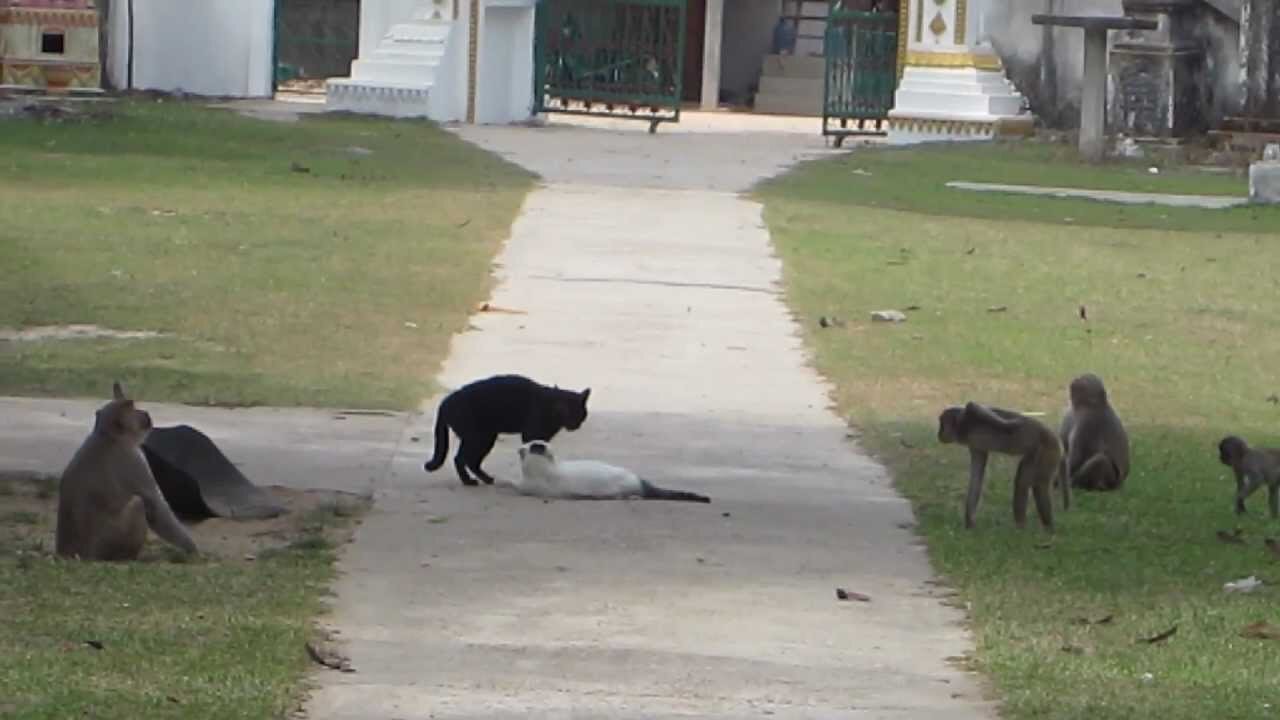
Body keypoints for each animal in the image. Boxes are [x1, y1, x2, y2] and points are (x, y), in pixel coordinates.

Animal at [54, 381, 197, 561]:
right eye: (132, 407)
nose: (144, 413)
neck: (108, 436)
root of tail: (71, 553)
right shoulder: (135, 460)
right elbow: (156, 508)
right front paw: (192, 549)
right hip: (109, 544)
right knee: (138, 503)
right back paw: (129, 557)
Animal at [427, 371, 591, 484]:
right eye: (565, 410)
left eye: (578, 412)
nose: (574, 424)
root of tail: (445, 401)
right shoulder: (531, 433)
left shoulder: (543, 437)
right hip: (477, 436)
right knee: (460, 458)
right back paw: (468, 481)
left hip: (486, 437)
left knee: (471, 461)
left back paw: (486, 479)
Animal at [936, 399, 1064, 530]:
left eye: (942, 424)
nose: (939, 433)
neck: (962, 428)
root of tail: (1057, 441)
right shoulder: (974, 446)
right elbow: (977, 477)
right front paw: (969, 522)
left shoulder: (966, 416)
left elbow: (974, 407)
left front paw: (1011, 424)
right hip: (1046, 453)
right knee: (1035, 484)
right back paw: (1046, 527)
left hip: (1048, 449)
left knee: (1024, 482)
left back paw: (1025, 527)